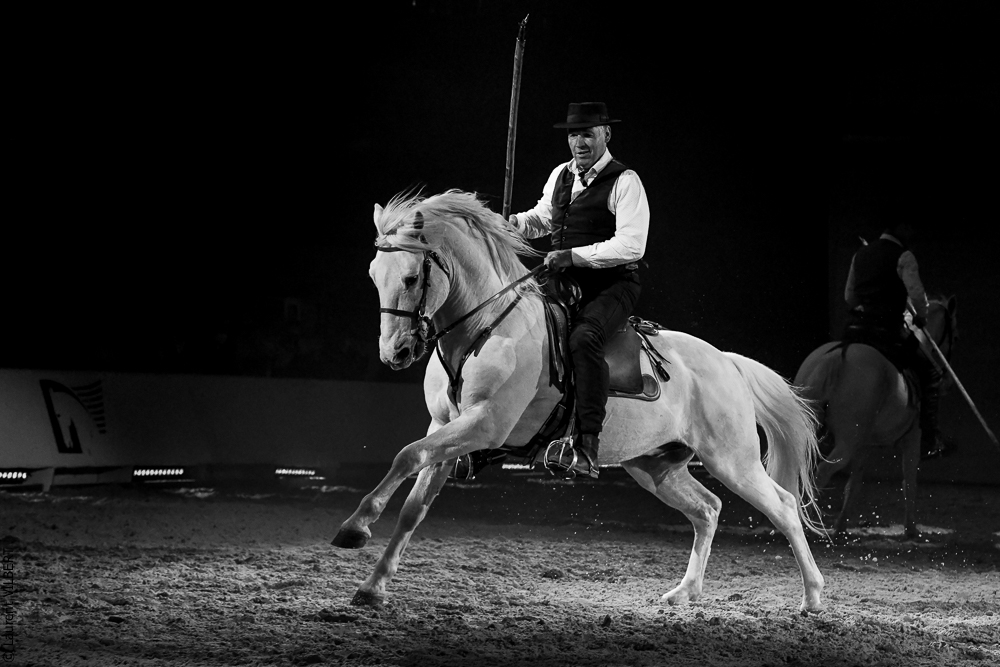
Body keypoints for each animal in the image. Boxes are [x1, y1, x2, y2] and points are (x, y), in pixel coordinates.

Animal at [332, 189, 828, 613]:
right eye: (374, 276)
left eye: (412, 276)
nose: (394, 353)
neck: (486, 324)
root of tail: (726, 362)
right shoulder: (444, 427)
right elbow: (413, 502)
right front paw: (372, 586)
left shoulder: (483, 423)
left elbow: (406, 455)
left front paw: (355, 528)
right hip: (655, 466)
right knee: (708, 510)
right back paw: (684, 592)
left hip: (732, 460)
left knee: (783, 507)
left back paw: (813, 597)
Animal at [793, 296, 957, 538]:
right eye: (954, 337)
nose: (948, 382)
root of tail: (838, 355)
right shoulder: (913, 439)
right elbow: (910, 483)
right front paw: (911, 529)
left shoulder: (864, 446)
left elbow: (853, 485)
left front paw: (840, 527)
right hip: (847, 443)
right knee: (821, 473)